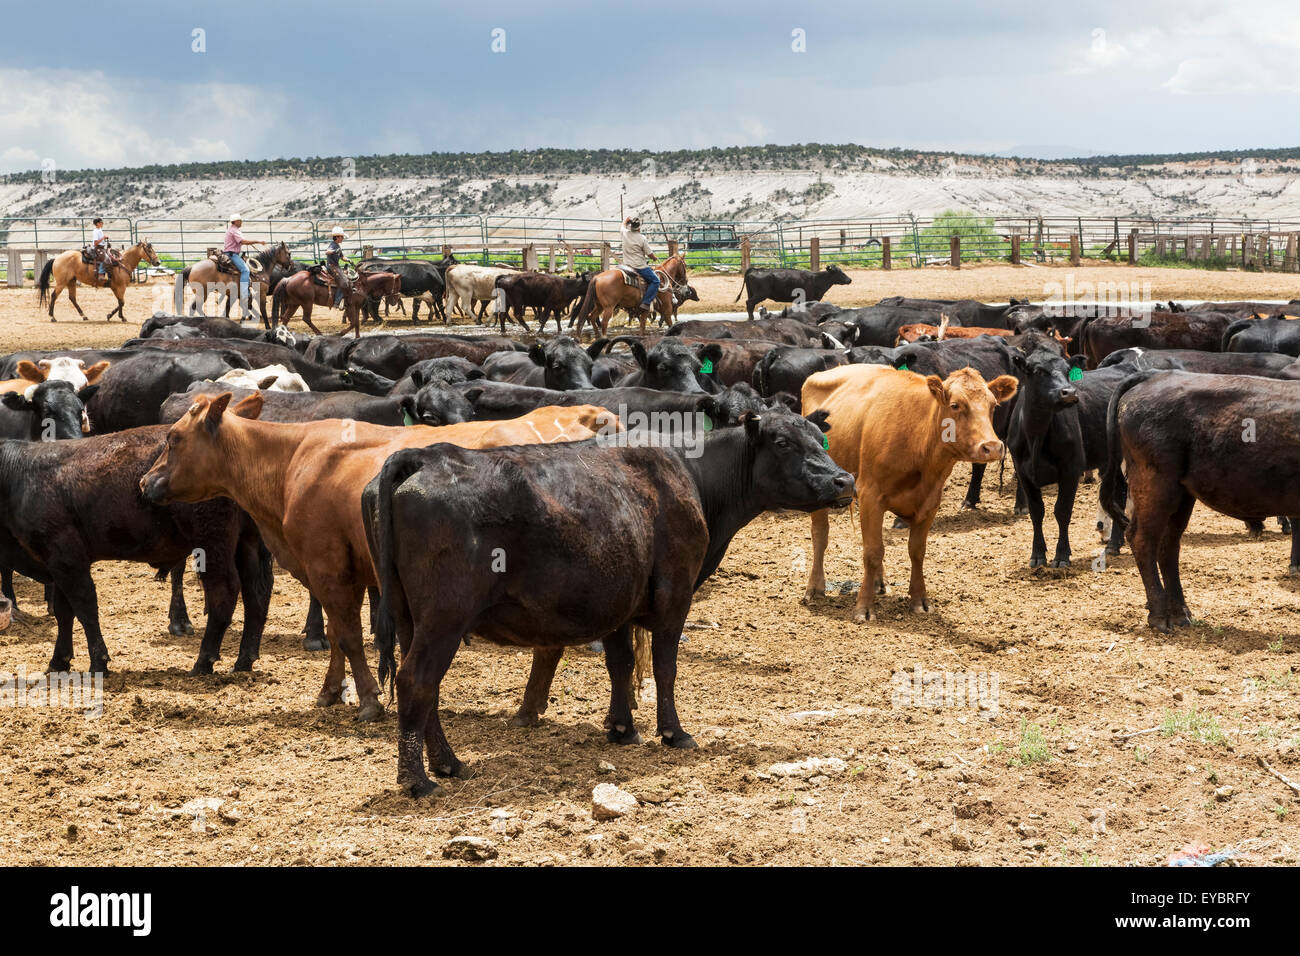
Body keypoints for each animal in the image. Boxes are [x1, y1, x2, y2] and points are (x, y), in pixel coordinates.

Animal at [0, 427, 271, 674]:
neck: (19, 477)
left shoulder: (65, 556)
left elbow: (85, 607)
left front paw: (98, 662)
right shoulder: (58, 563)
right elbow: (64, 612)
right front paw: (59, 661)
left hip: (212, 542)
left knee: (223, 592)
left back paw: (203, 662)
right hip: (247, 542)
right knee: (256, 593)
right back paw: (244, 660)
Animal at [139, 397, 613, 720]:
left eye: (173, 438)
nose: (144, 481)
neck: (294, 460)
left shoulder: (327, 568)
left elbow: (349, 636)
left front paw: (368, 700)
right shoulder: (337, 574)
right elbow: (335, 635)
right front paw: (330, 691)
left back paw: (530, 708)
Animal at [361, 405, 855, 794]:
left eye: (819, 439)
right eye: (783, 442)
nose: (844, 479)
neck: (690, 474)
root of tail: (426, 455)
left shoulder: (620, 602)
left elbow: (620, 664)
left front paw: (621, 728)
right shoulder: (674, 596)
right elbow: (664, 668)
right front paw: (673, 733)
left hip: (410, 620)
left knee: (425, 690)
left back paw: (448, 763)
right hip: (444, 619)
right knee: (416, 682)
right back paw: (418, 781)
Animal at [801, 364, 1017, 621]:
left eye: (993, 405)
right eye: (956, 405)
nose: (992, 447)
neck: (919, 441)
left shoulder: (930, 503)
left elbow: (916, 551)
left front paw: (919, 600)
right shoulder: (871, 495)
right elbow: (872, 551)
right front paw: (864, 607)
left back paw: (878, 582)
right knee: (820, 535)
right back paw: (815, 588)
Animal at [1100, 370, 1300, 632]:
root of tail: (1155, 375)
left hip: (1182, 496)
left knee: (1168, 544)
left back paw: (1179, 612)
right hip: (1155, 486)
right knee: (1142, 539)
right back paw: (1160, 615)